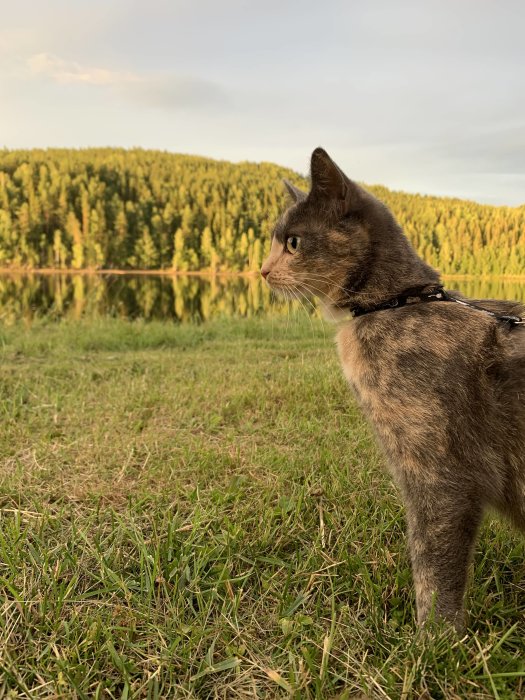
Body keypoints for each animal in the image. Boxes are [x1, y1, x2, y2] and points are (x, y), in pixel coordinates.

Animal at [258, 148, 524, 628]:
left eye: (293, 243)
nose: (262, 269)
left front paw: (435, 638)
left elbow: (433, 566)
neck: (395, 303)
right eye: (275, 241)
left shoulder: (439, 472)